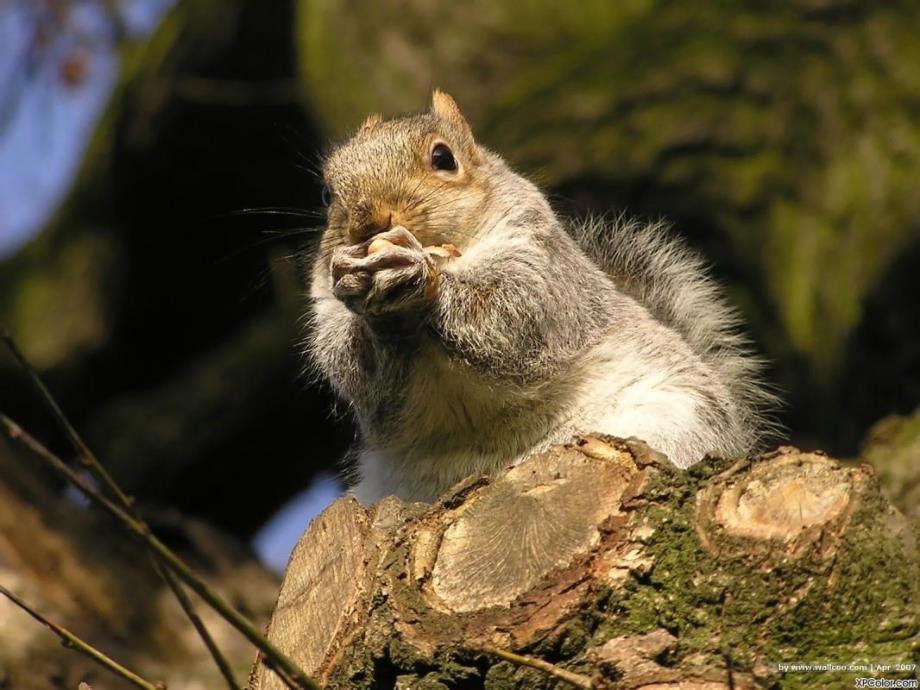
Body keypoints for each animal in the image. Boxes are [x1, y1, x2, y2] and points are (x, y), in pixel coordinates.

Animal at [308, 90, 776, 500]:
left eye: (443, 158)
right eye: (327, 193)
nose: (367, 220)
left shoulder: (541, 262)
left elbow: (513, 315)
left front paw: (418, 276)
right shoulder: (328, 314)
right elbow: (365, 384)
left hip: (677, 422)